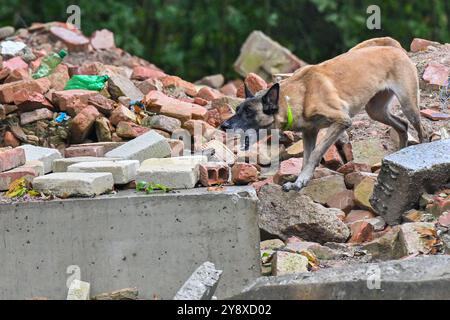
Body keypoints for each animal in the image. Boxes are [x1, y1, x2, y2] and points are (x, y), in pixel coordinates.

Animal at [221, 38, 426, 191]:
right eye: (237, 110)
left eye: (249, 112)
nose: (223, 126)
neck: (298, 95)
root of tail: (394, 47)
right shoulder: (309, 133)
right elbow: (305, 158)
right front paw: (300, 180)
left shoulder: (341, 121)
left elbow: (316, 153)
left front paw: (302, 180)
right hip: (376, 110)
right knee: (402, 125)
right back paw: (400, 153)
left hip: (408, 104)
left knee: (419, 129)